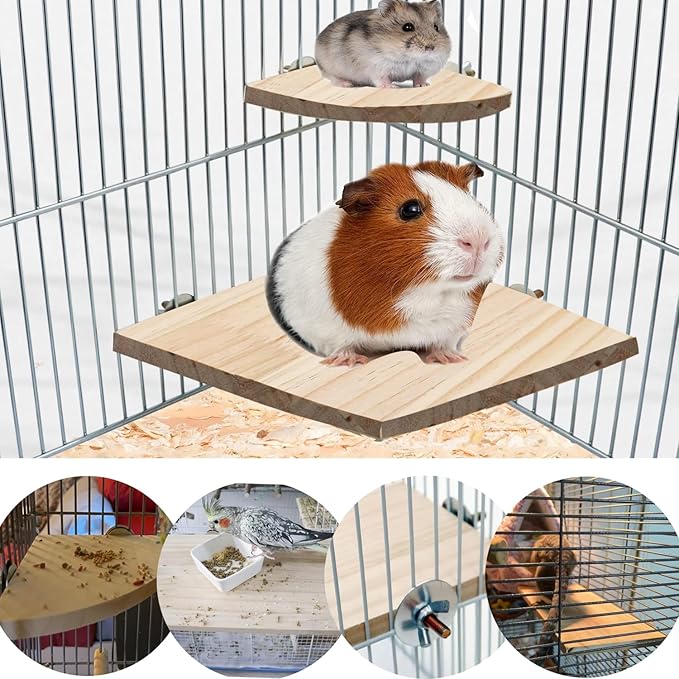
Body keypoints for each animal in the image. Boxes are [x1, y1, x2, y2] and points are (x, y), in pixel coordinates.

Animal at [266, 161, 505, 367]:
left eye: (471, 199)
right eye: (410, 209)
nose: (478, 240)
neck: (425, 296)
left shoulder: (454, 325)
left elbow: (443, 343)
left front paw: (449, 358)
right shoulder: (323, 328)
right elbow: (341, 346)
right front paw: (350, 361)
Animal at [315, 0, 451, 88]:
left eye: (436, 27)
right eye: (407, 27)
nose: (430, 48)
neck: (408, 57)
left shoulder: (423, 70)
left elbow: (419, 77)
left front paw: (424, 85)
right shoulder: (376, 67)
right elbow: (382, 79)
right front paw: (393, 87)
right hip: (328, 66)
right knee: (331, 77)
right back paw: (347, 84)